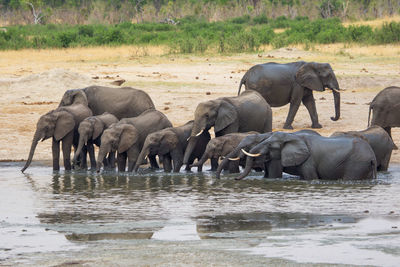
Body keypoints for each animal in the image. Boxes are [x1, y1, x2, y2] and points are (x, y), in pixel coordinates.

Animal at [236, 132, 376, 181]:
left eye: (270, 145)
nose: (236, 179)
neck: (292, 136)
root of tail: (372, 156)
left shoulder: (308, 160)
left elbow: (311, 178)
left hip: (357, 163)